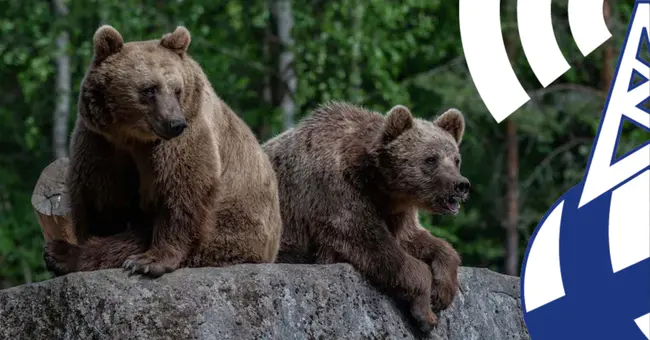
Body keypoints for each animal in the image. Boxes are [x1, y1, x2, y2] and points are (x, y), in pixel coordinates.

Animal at [43, 25, 280, 278]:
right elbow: (100, 193)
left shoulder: (186, 133)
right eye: (150, 89)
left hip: (233, 225)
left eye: (177, 90)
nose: (175, 123)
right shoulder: (101, 141)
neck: (133, 137)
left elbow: (183, 188)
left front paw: (149, 261)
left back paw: (63, 253)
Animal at [260, 102, 468, 334]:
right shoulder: (335, 191)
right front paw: (426, 313)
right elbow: (370, 242)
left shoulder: (396, 211)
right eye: (431, 159)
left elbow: (416, 239)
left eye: (456, 160)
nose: (460, 185)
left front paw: (442, 291)